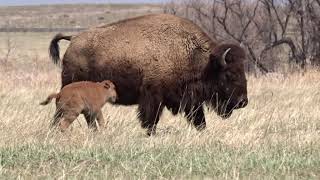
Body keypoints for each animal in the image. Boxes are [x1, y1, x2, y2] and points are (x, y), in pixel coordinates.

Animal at [50, 13, 249, 135]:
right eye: (229, 75)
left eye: (243, 71)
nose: (243, 102)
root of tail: (73, 39)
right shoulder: (152, 97)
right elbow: (150, 120)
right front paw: (149, 134)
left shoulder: (190, 99)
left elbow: (199, 119)